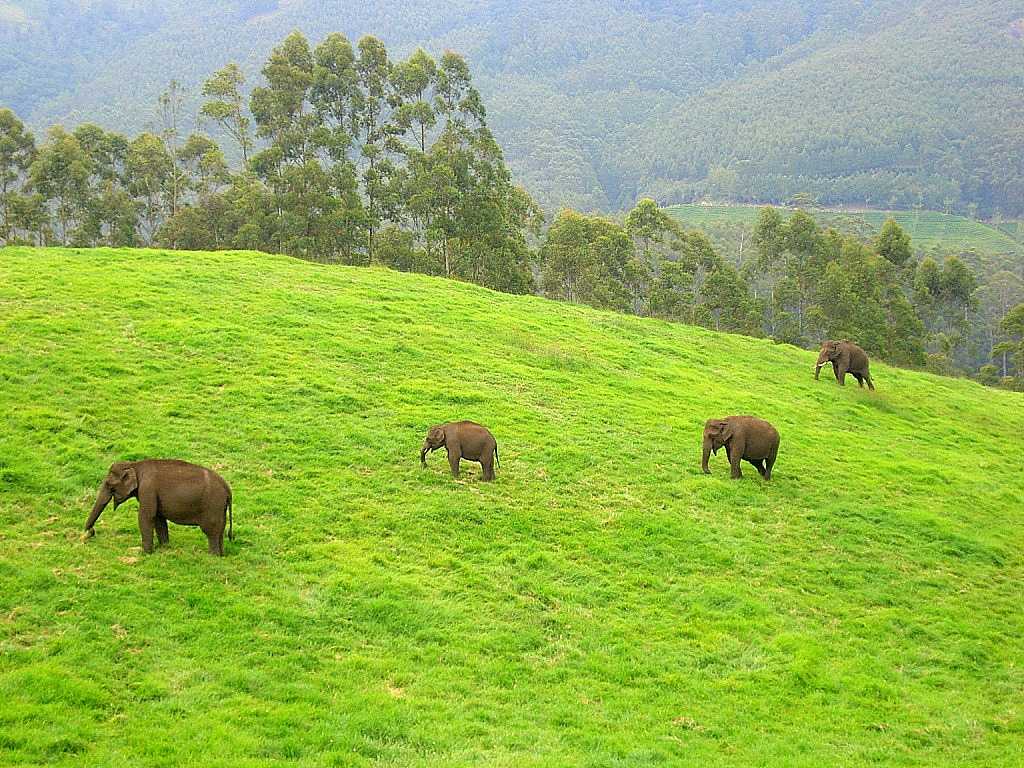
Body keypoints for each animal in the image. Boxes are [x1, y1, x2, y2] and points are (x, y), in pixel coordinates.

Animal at [83, 460, 234, 557]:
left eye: (109, 484)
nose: (91, 531)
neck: (134, 465)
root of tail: (227, 489)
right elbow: (158, 519)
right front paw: (164, 548)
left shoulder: (147, 488)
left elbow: (146, 516)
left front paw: (144, 553)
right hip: (220, 508)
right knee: (220, 531)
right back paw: (221, 555)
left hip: (213, 505)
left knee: (211, 531)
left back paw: (212, 556)